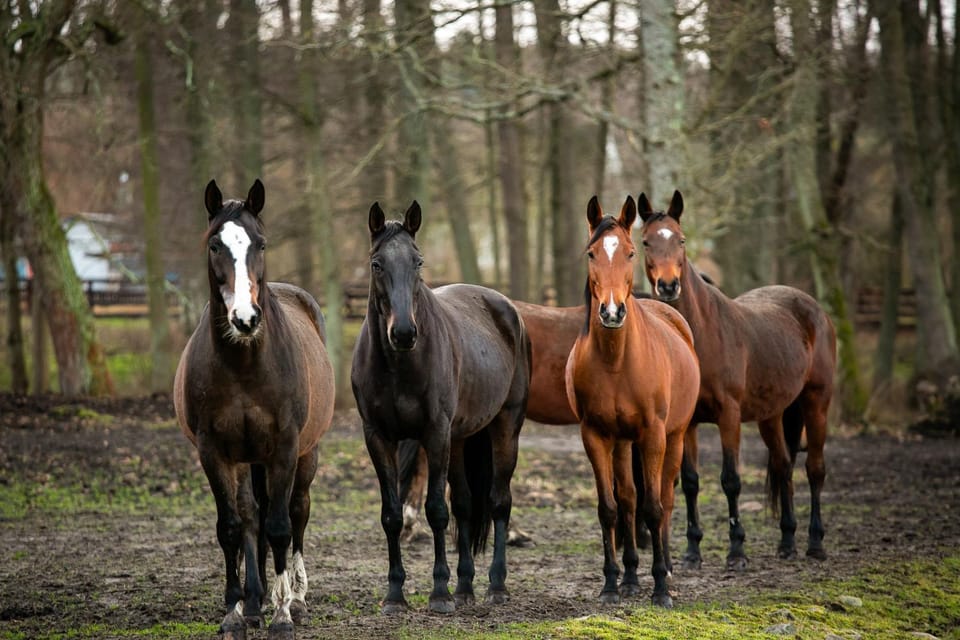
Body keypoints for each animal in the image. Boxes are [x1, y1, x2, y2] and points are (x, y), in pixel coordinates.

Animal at [173, 179, 335, 639]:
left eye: (260, 243)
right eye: (215, 244)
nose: (245, 318)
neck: (244, 364)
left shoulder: (284, 447)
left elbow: (280, 527)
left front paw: (282, 616)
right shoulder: (214, 452)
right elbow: (232, 527)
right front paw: (236, 612)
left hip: (306, 455)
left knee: (297, 512)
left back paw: (295, 598)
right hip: (248, 460)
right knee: (251, 516)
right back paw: (254, 601)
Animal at [351, 201, 531, 614]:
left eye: (417, 262)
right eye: (376, 264)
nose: (404, 333)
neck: (399, 365)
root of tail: (506, 308)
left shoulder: (434, 434)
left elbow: (435, 510)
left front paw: (439, 593)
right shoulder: (378, 438)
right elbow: (392, 515)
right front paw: (395, 596)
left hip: (505, 426)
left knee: (499, 502)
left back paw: (496, 586)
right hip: (461, 438)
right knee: (464, 505)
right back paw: (465, 587)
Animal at [565, 195, 700, 607]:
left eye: (628, 252)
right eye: (591, 253)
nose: (611, 311)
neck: (616, 361)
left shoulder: (653, 435)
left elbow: (654, 508)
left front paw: (660, 590)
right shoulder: (595, 435)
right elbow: (610, 508)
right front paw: (612, 583)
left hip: (674, 436)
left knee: (666, 497)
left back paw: (666, 569)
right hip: (623, 443)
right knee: (627, 498)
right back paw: (628, 577)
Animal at [637, 190, 836, 570]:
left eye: (680, 240)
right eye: (645, 242)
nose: (668, 286)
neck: (698, 334)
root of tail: (813, 309)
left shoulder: (728, 416)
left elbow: (730, 480)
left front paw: (736, 551)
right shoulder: (689, 423)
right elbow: (690, 482)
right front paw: (692, 552)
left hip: (816, 402)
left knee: (815, 469)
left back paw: (816, 543)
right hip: (772, 415)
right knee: (784, 465)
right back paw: (787, 541)